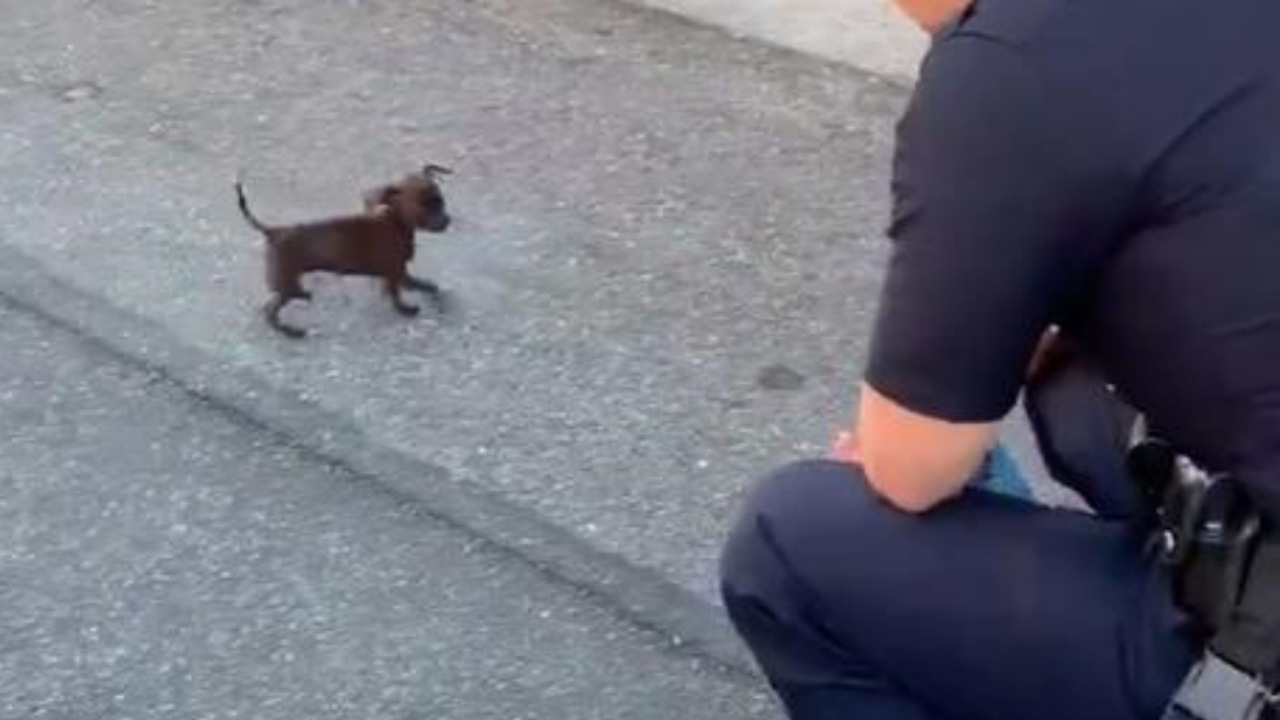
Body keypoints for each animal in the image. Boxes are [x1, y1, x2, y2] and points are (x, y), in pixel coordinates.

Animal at [236, 165, 455, 338]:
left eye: (441, 201)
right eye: (424, 207)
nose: (447, 220)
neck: (395, 222)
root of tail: (272, 231)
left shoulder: (394, 272)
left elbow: (399, 286)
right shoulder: (396, 271)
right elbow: (400, 291)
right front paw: (406, 308)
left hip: (287, 281)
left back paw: (302, 298)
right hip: (286, 279)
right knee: (270, 310)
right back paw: (290, 331)